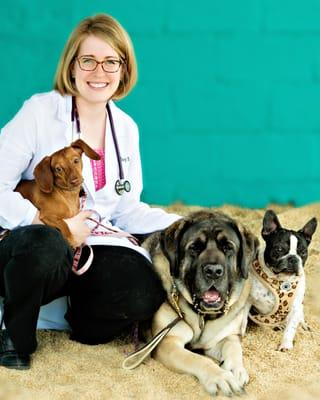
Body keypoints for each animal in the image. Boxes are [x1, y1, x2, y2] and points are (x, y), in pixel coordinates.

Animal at [142, 211, 258, 396]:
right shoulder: (167, 342)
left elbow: (233, 347)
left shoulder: (222, 337)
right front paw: (220, 376)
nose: (213, 271)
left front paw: (236, 369)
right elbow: (196, 359)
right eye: (195, 247)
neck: (203, 316)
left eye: (228, 247)